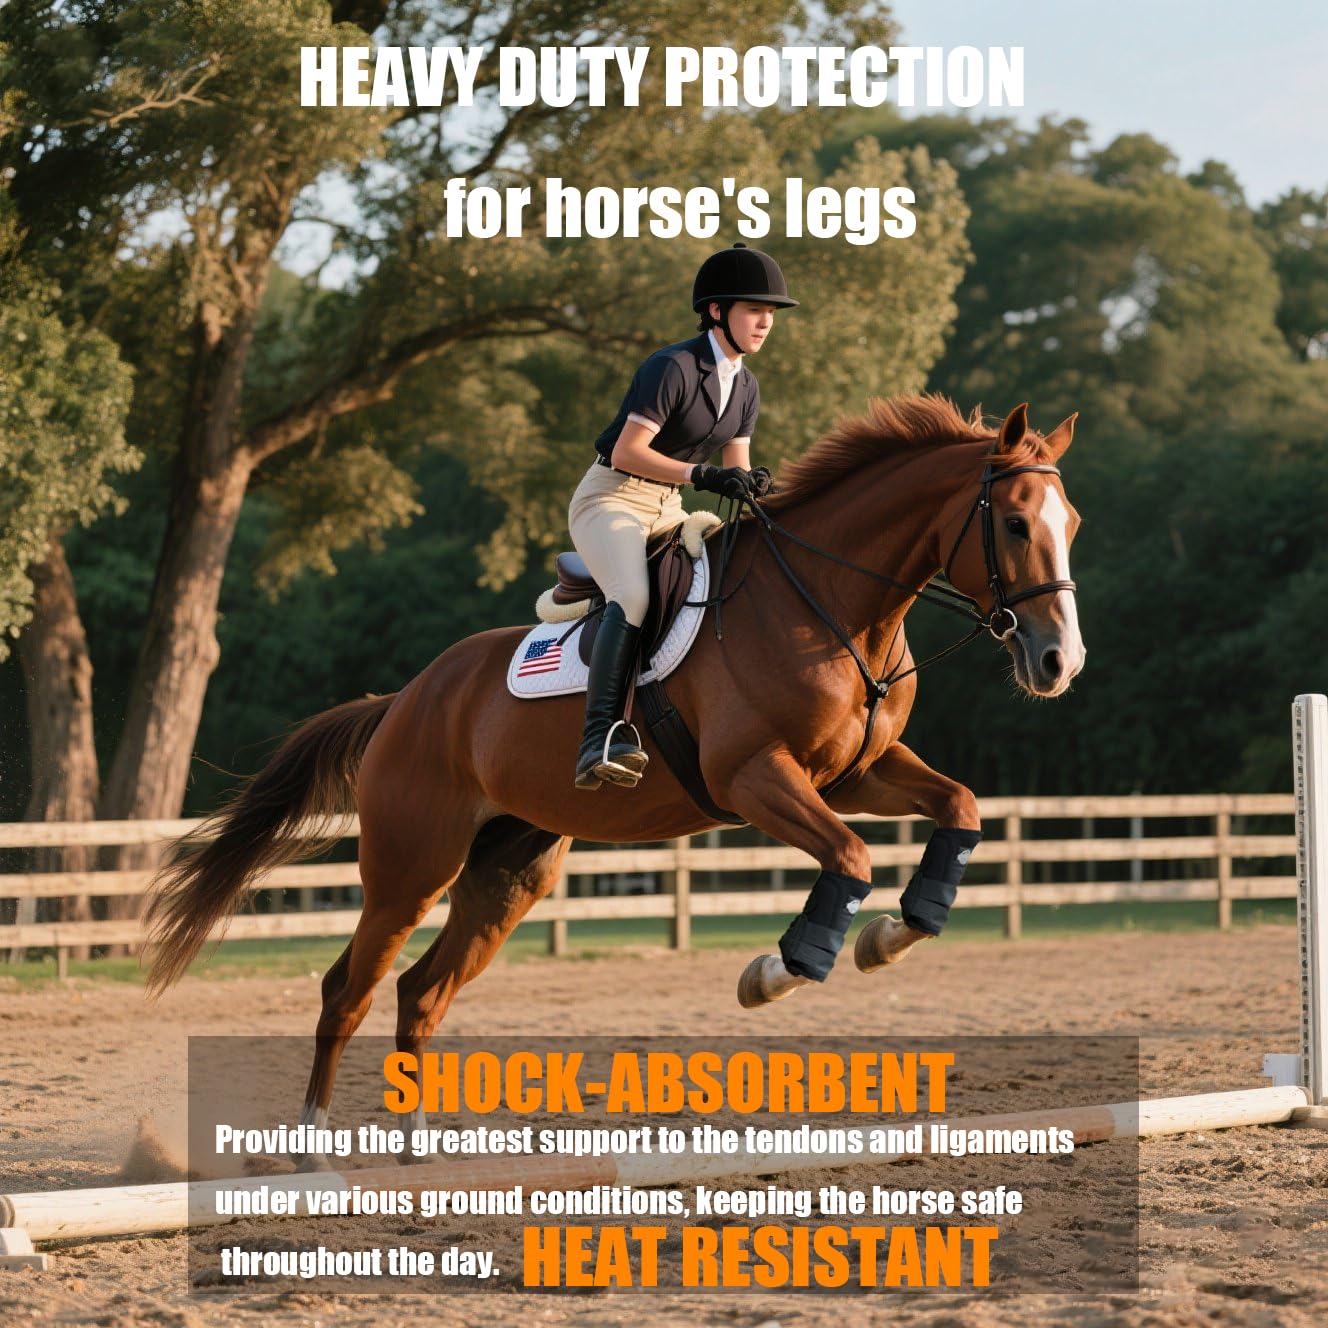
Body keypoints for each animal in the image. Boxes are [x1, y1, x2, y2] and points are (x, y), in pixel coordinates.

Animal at [142, 395, 1083, 1158]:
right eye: (1013, 524)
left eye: (1069, 522)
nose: (1058, 662)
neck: (831, 602)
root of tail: (405, 699)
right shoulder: (755, 779)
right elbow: (849, 858)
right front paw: (778, 972)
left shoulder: (855, 772)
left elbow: (959, 809)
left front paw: (893, 934)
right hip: (412, 867)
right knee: (349, 989)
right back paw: (308, 1146)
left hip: (509, 873)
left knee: (421, 990)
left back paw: (417, 1145)